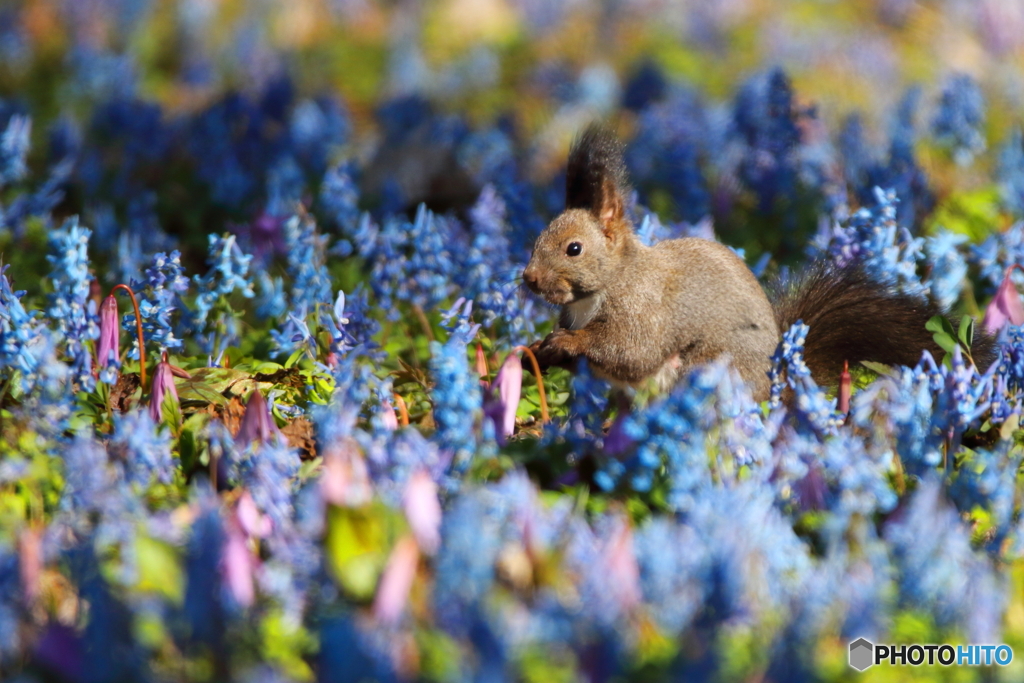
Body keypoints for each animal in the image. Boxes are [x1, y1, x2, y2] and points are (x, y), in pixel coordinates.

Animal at [524, 126, 995, 401]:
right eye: (537, 237)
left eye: (573, 249)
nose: (528, 279)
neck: (604, 288)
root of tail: (776, 382)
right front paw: (538, 350)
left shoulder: (644, 310)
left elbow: (631, 351)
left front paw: (567, 342)